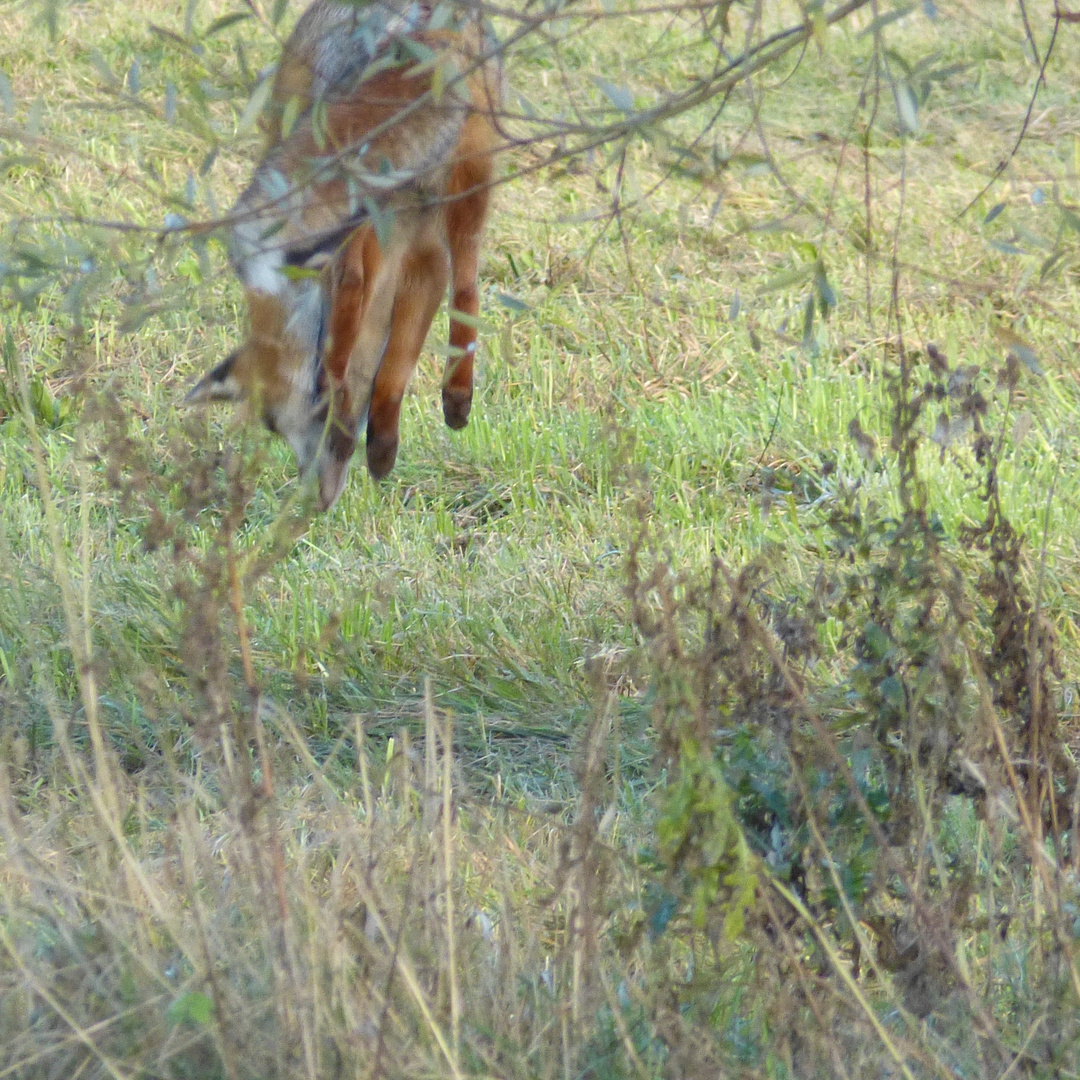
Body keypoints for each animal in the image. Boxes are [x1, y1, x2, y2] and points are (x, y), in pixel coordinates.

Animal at [186, 0, 501, 509]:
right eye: (274, 429)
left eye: (311, 418)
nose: (317, 498)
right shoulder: (412, 254)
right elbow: (396, 356)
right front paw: (384, 443)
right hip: (471, 182)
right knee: (467, 284)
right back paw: (454, 393)